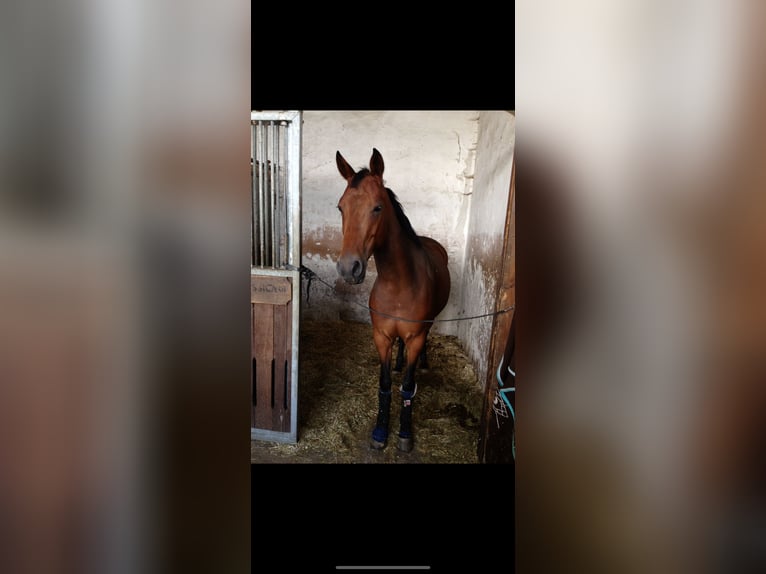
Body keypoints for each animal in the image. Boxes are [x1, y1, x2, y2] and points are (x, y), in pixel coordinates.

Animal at [335, 148, 451, 451]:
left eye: (377, 208)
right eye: (341, 207)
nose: (348, 268)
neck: (398, 284)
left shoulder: (416, 337)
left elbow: (408, 388)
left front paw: (405, 435)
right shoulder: (382, 336)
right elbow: (385, 384)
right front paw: (379, 433)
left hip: (428, 325)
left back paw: (423, 362)